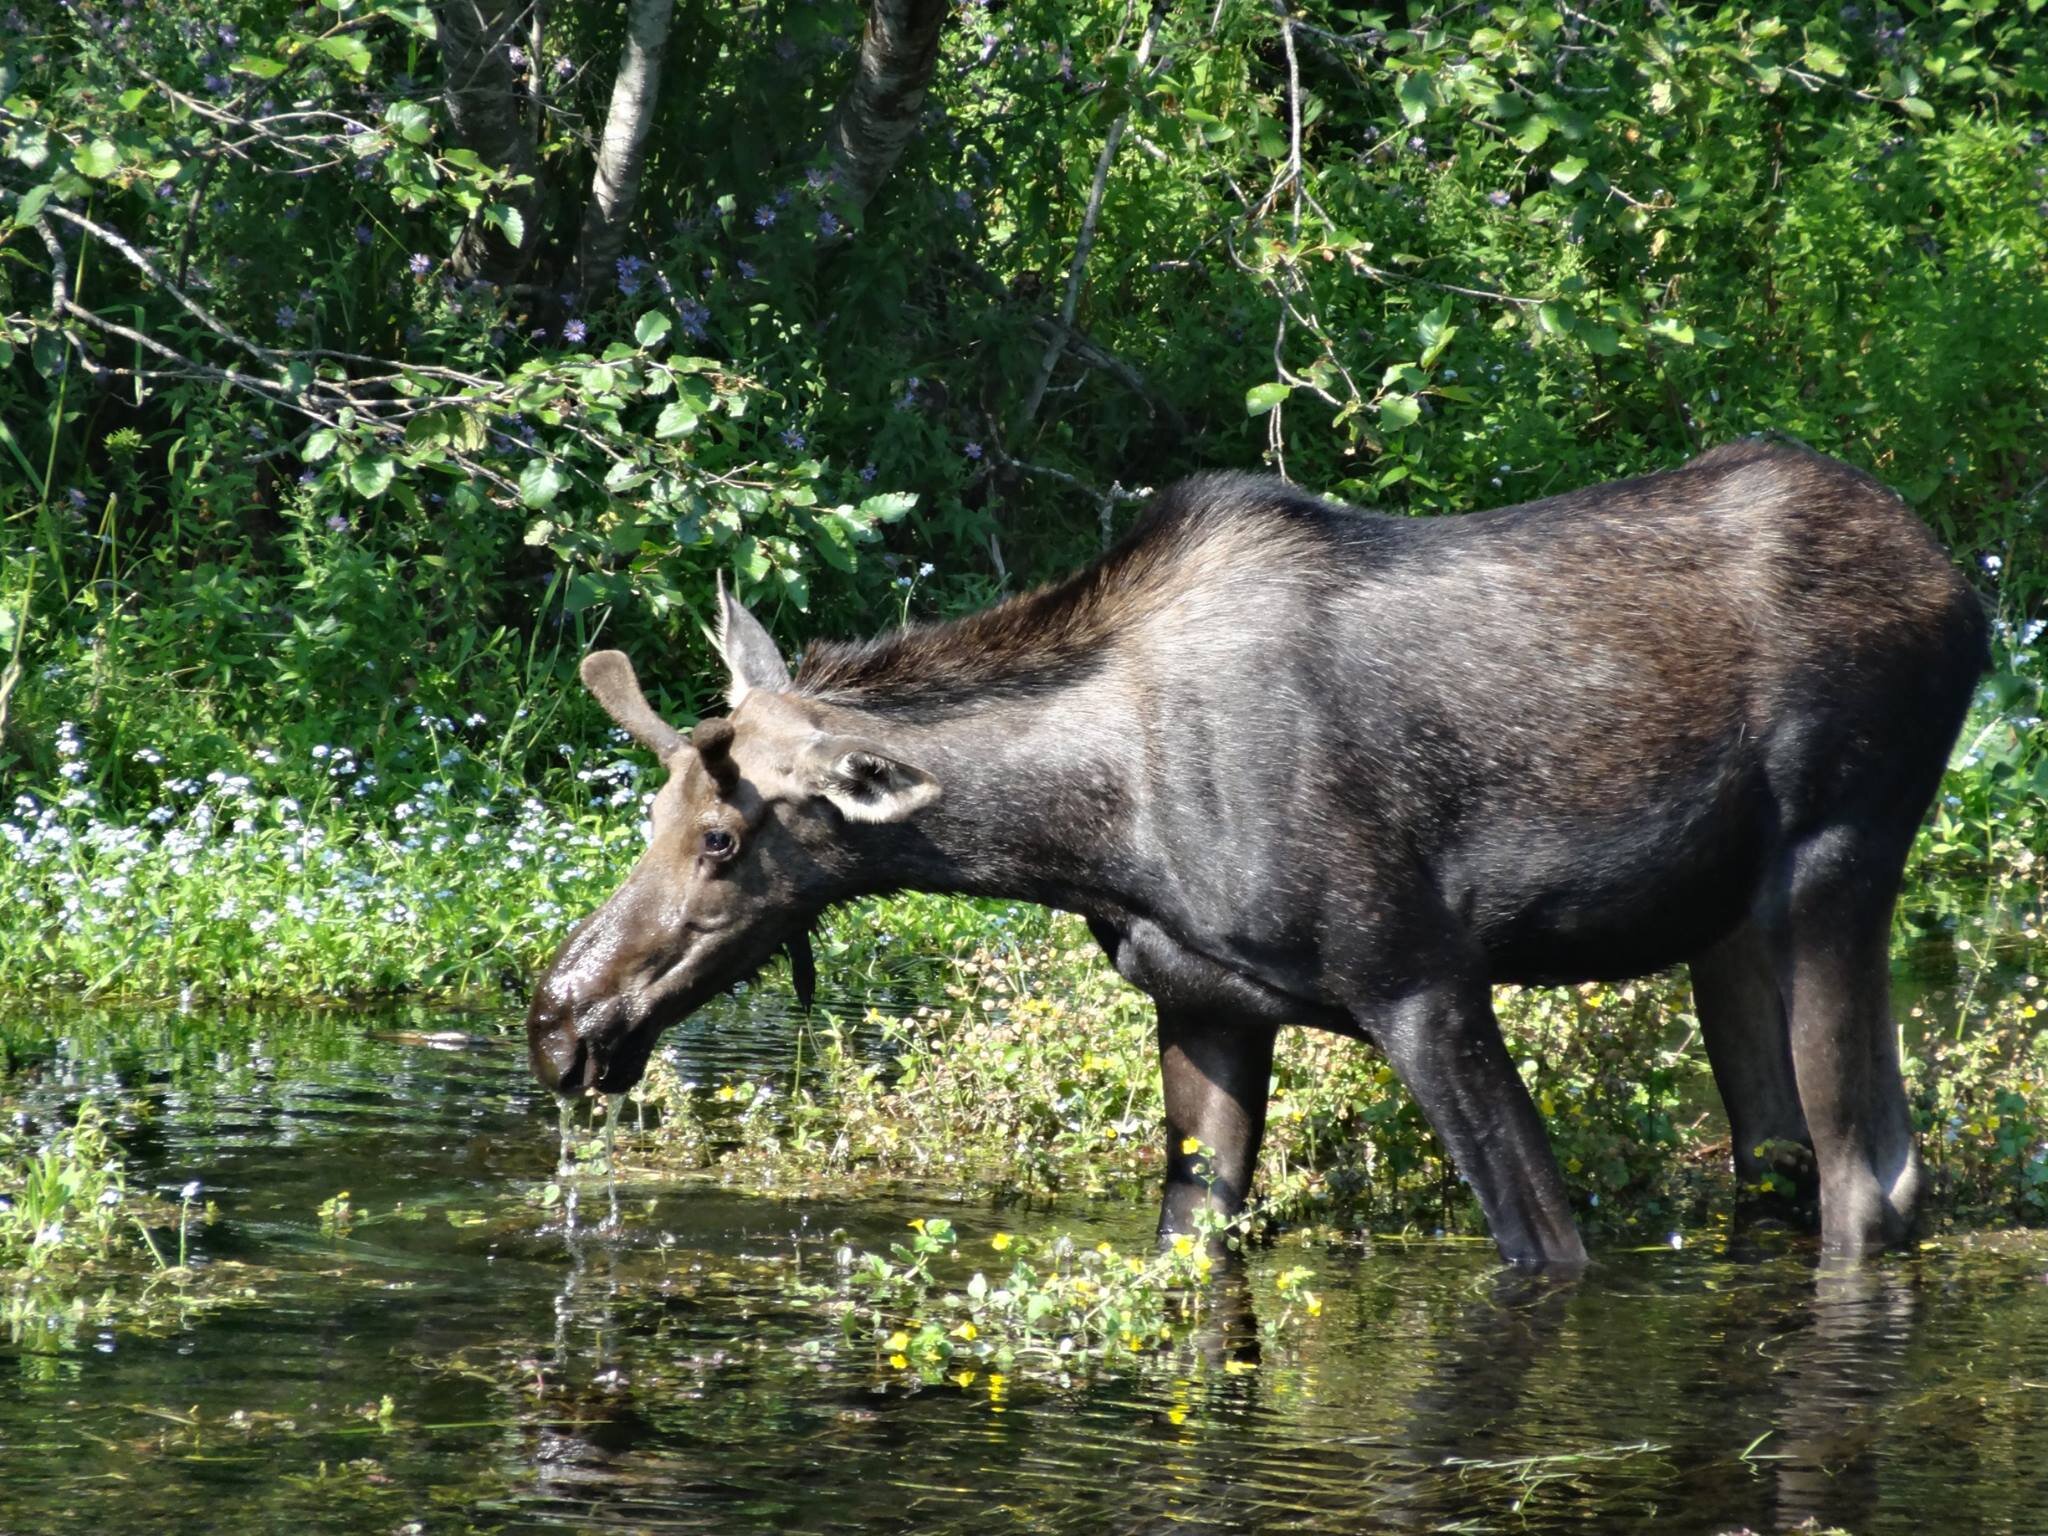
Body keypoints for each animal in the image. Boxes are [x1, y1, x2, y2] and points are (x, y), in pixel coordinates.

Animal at [528, 438, 1982, 1269]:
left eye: (723, 839)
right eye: (649, 819)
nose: (558, 1019)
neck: (1085, 834)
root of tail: (1962, 589)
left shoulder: (1423, 983)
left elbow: (1544, 1248)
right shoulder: (1205, 1006)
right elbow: (1191, 1247)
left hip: (1836, 867)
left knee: (1870, 1181)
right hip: (1722, 932)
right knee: (1796, 1164)